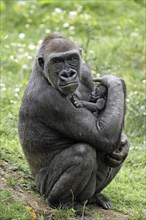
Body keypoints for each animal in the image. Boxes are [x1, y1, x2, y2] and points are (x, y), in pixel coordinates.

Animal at [18, 33, 130, 217]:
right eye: (57, 61)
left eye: (72, 58)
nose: (68, 74)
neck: (42, 73)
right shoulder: (49, 99)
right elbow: (104, 135)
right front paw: (114, 82)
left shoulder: (84, 71)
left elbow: (113, 136)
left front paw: (124, 144)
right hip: (44, 188)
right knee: (83, 152)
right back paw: (59, 202)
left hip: (87, 195)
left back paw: (97, 196)